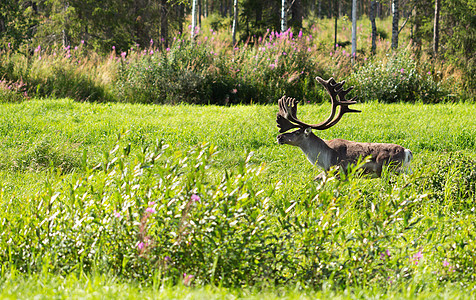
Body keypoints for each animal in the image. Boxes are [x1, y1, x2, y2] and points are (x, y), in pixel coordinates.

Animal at [276, 77, 412, 179]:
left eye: (297, 132)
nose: (279, 137)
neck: (322, 158)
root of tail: (407, 152)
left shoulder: (338, 171)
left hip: (390, 170)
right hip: (403, 170)